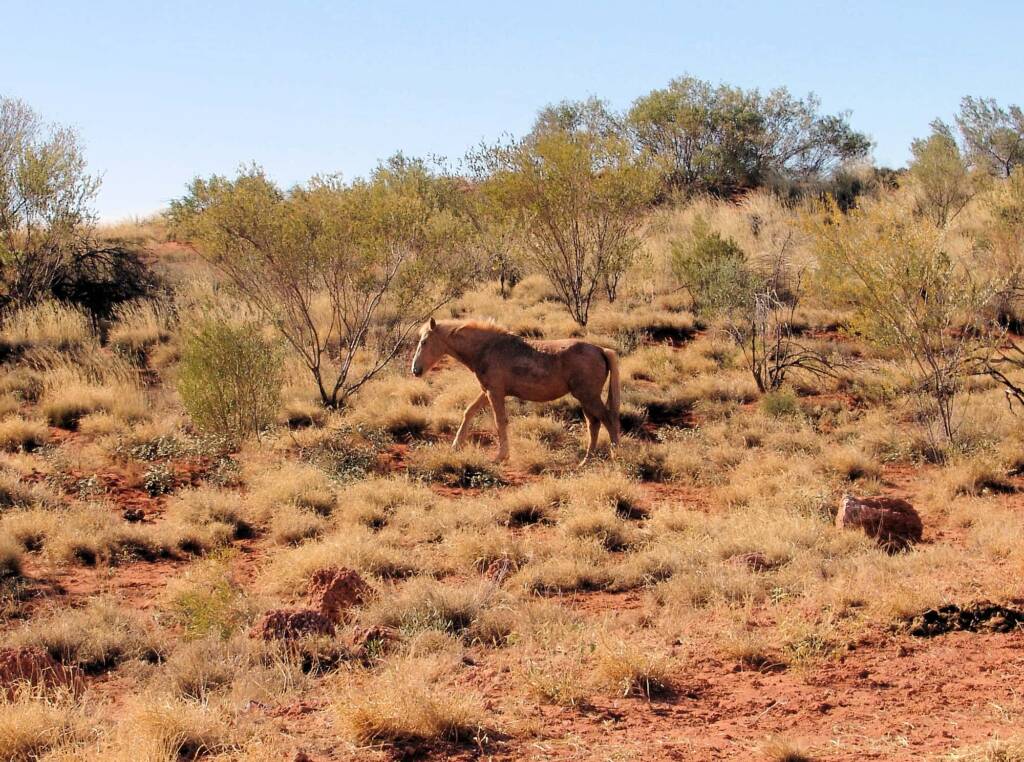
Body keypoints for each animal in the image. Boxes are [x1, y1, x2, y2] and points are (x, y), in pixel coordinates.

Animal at [411, 318, 620, 465]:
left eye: (424, 342)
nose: (415, 370)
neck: (486, 348)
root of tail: (601, 350)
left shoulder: (494, 393)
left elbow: (500, 421)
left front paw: (501, 456)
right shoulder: (488, 391)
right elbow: (469, 412)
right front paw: (456, 446)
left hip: (589, 397)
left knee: (608, 420)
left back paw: (615, 455)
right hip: (586, 399)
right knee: (594, 424)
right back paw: (586, 461)